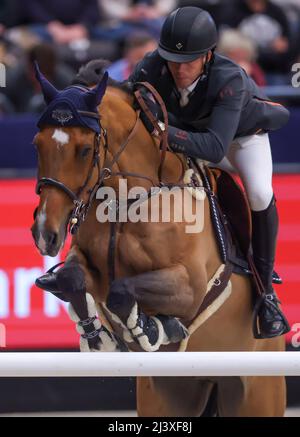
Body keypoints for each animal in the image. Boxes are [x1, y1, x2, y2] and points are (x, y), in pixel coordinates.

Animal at [31, 61, 286, 416]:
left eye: (84, 150)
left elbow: (123, 291)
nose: (45, 234)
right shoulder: (87, 264)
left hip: (257, 389)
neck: (127, 201)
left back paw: (269, 314)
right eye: (36, 144)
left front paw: (152, 328)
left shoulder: (190, 286)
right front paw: (98, 336)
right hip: (168, 393)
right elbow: (72, 278)